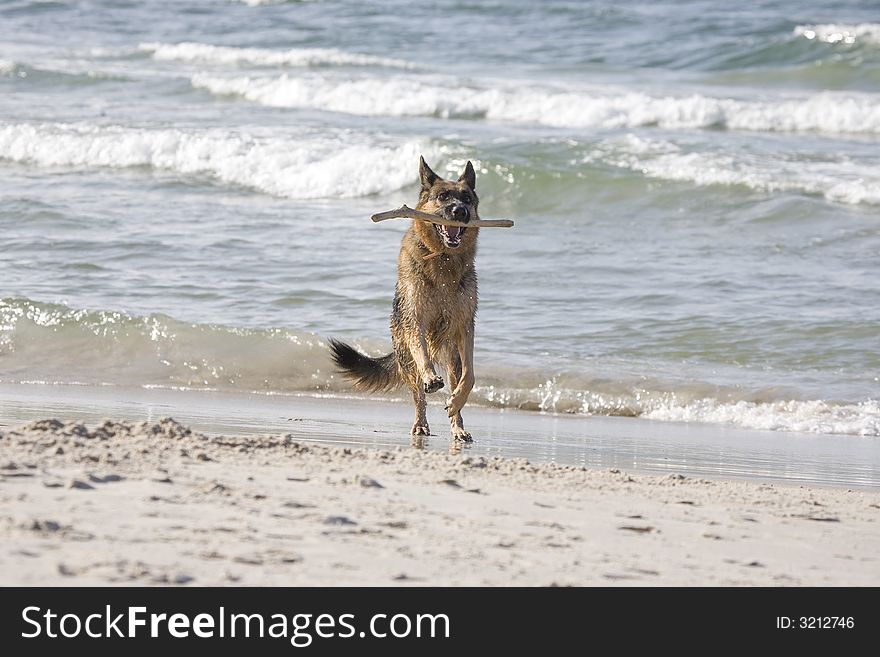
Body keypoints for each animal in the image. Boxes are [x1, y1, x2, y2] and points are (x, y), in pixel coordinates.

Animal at [330, 156, 482, 438]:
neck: (443, 261)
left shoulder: (464, 328)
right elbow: (422, 357)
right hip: (405, 356)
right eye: (443, 196)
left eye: (466, 198)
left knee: (455, 383)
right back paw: (421, 423)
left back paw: (458, 426)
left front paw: (456, 401)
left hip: (452, 357)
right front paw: (431, 377)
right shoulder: (415, 322)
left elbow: (469, 378)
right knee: (417, 394)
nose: (460, 212)